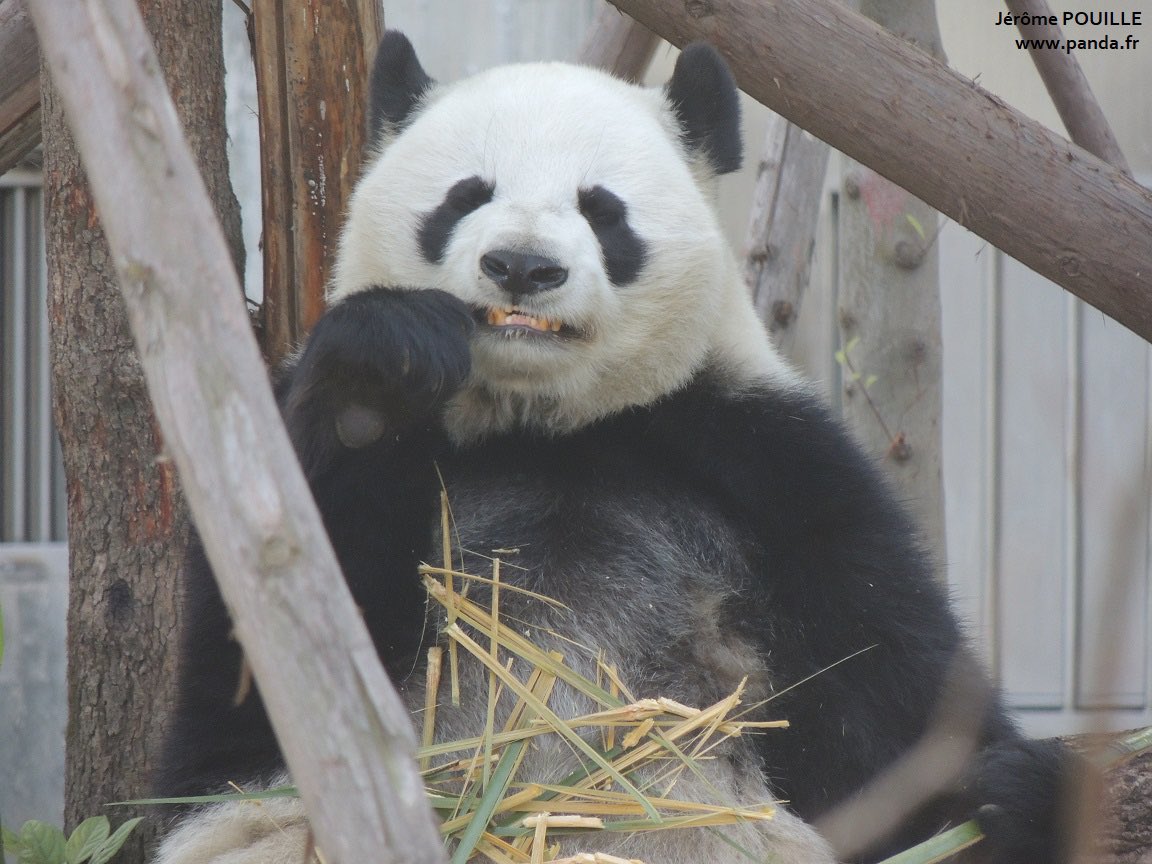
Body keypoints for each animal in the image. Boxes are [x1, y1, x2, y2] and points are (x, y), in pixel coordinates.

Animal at [152, 31, 1074, 864]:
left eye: (602, 209)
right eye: (465, 195)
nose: (522, 266)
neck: (546, 425)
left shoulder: (762, 462)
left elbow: (887, 682)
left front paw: (1007, 793)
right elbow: (260, 668)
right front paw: (380, 377)